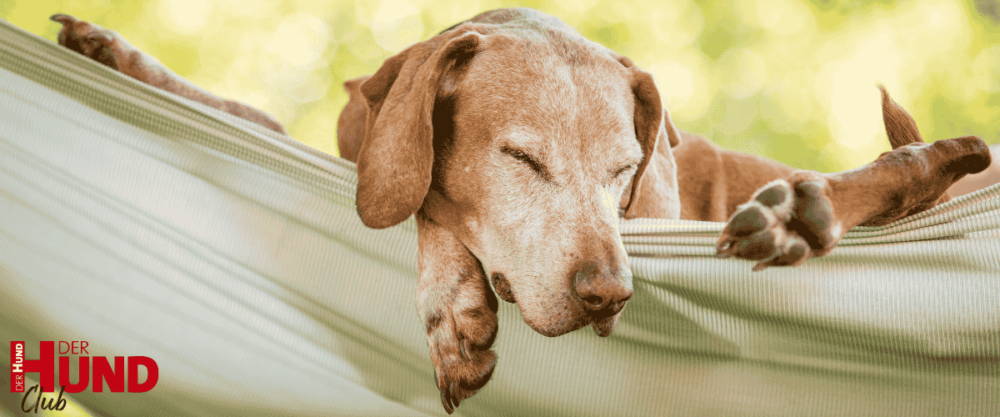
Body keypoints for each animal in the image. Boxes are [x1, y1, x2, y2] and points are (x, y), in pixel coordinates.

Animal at [52, 9, 992, 412]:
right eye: (521, 158)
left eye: (623, 172)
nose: (609, 294)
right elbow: (262, 120)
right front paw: (118, 53)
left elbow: (429, 214)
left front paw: (455, 305)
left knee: (916, 162)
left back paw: (807, 205)